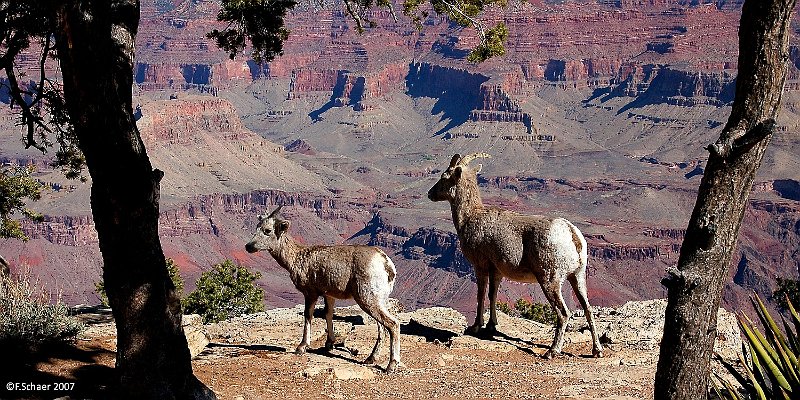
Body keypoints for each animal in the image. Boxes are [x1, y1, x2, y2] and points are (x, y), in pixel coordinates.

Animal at [244, 206, 400, 372]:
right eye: (257, 227)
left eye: (267, 230)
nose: (249, 246)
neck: (296, 259)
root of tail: (387, 265)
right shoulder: (329, 294)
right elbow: (328, 314)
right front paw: (329, 344)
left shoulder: (310, 292)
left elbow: (308, 315)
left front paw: (301, 347)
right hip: (379, 299)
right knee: (382, 326)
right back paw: (370, 359)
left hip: (367, 297)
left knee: (392, 323)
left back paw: (391, 365)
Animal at [428, 154, 604, 360]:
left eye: (444, 176)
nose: (430, 194)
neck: (470, 218)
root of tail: (571, 234)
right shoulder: (497, 271)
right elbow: (492, 294)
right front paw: (492, 325)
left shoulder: (480, 267)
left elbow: (481, 294)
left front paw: (476, 327)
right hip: (577, 276)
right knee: (588, 308)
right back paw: (597, 351)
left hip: (550, 280)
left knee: (563, 313)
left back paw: (551, 351)